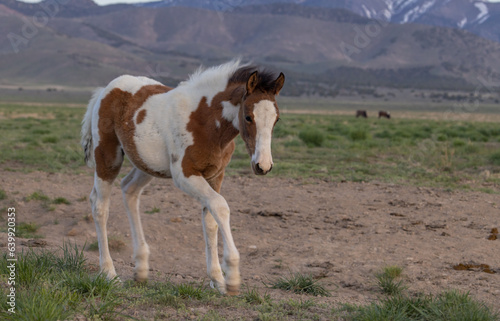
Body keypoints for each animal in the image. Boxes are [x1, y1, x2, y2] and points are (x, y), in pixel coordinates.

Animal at [81, 60, 286, 296]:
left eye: (277, 119)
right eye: (248, 117)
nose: (263, 166)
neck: (206, 122)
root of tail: (105, 90)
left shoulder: (216, 175)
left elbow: (211, 220)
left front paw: (217, 279)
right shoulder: (184, 175)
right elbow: (221, 206)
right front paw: (232, 276)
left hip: (146, 163)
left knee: (129, 189)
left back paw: (140, 269)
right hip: (108, 156)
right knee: (100, 205)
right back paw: (109, 273)